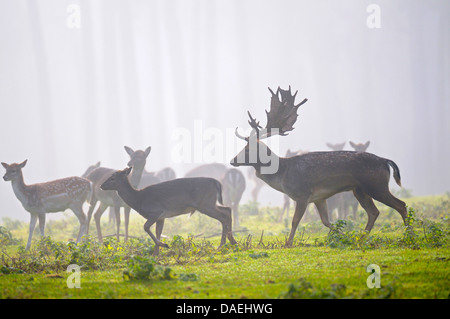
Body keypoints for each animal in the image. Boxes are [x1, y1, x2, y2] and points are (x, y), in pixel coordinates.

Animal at [100, 168, 237, 255]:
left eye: (112, 178)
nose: (101, 186)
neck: (138, 200)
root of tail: (217, 182)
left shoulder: (155, 211)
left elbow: (146, 227)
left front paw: (163, 245)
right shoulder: (161, 217)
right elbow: (158, 232)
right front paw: (156, 253)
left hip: (205, 204)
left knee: (223, 216)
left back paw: (222, 245)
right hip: (209, 203)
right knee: (227, 209)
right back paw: (233, 241)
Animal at [230, 86, 410, 246]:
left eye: (248, 149)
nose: (233, 160)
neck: (283, 173)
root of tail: (385, 161)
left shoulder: (302, 194)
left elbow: (295, 221)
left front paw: (288, 243)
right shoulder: (319, 198)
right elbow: (326, 221)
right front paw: (343, 236)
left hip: (376, 184)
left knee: (400, 204)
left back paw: (409, 234)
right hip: (359, 189)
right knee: (374, 212)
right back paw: (361, 238)